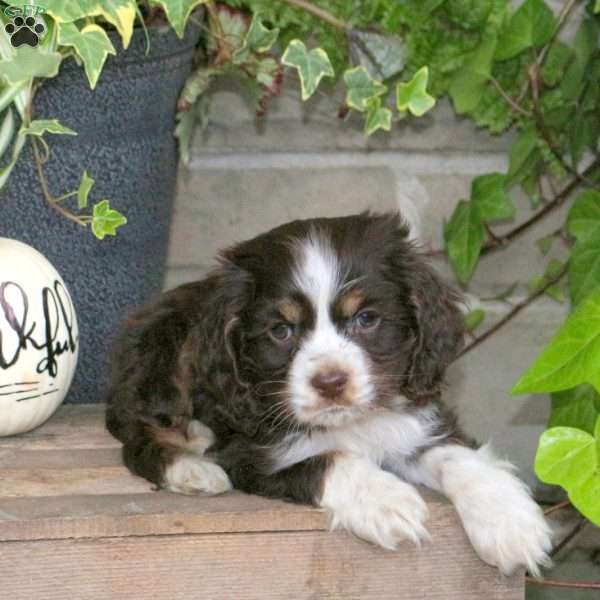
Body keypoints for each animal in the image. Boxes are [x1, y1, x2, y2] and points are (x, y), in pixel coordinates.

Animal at [105, 213, 552, 576]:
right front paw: (386, 501)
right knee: (138, 440)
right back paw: (192, 467)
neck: (351, 423)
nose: (331, 381)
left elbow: (458, 456)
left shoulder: (417, 422)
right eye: (281, 331)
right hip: (165, 352)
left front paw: (510, 522)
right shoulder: (250, 454)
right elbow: (331, 459)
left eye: (367, 319)